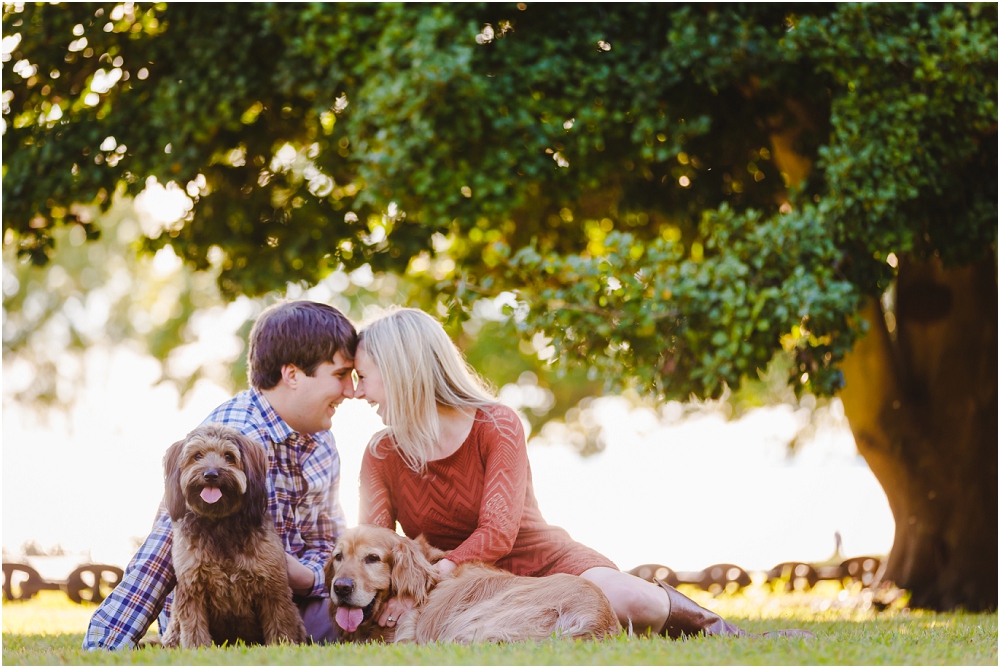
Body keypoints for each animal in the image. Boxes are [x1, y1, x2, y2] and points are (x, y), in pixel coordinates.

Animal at [156, 422, 302, 648]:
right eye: (197, 455)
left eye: (229, 456)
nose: (211, 474)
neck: (219, 523)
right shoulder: (192, 587)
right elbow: (194, 628)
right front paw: (197, 649)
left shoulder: (273, 587)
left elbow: (279, 623)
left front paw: (281, 646)